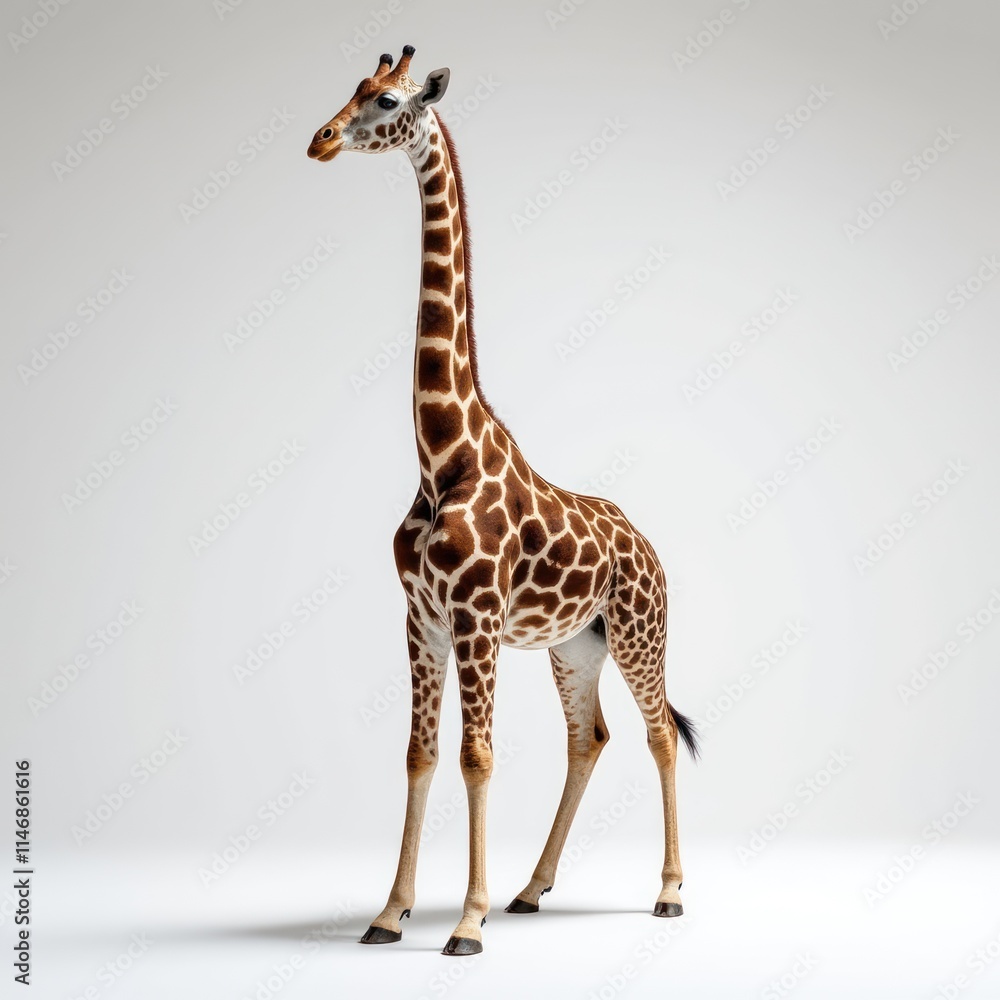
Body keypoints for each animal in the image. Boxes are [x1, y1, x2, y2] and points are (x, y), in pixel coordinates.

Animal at [307, 45, 699, 956]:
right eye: (350, 91)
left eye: (385, 101)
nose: (321, 140)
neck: (440, 453)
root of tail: (648, 543)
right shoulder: (420, 615)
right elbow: (419, 753)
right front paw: (391, 913)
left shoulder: (476, 615)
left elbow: (476, 756)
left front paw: (466, 923)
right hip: (576, 644)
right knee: (591, 737)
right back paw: (531, 887)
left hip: (640, 629)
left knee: (660, 732)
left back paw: (667, 892)